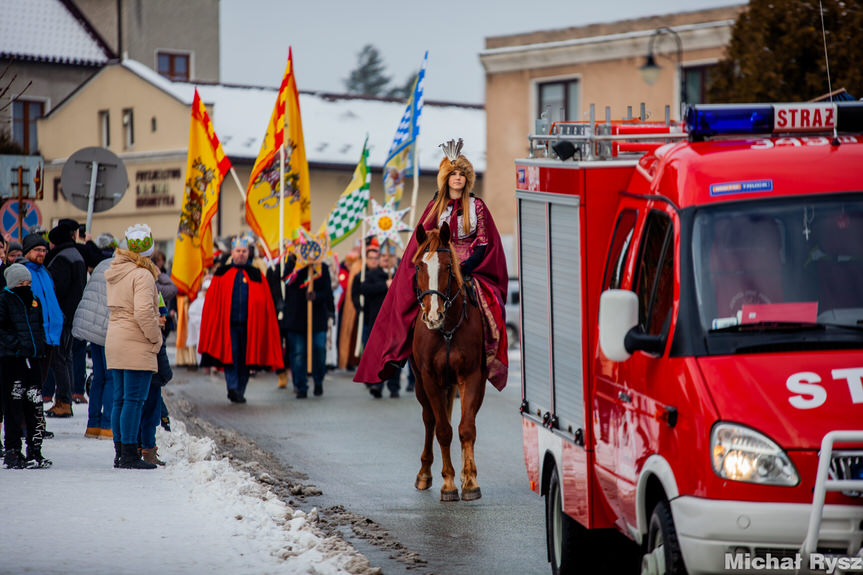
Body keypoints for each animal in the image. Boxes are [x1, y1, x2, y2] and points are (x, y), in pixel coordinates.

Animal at [410, 223, 490, 502]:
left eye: (447, 267)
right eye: (419, 267)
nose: (433, 315)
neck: (446, 330)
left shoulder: (472, 375)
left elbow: (467, 428)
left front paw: (470, 481)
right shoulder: (429, 378)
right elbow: (442, 430)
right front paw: (448, 484)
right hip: (421, 385)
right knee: (429, 420)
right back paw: (424, 474)